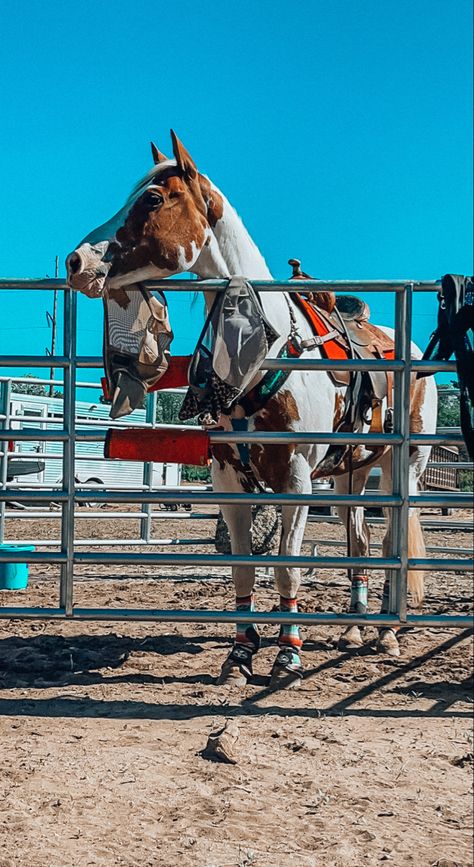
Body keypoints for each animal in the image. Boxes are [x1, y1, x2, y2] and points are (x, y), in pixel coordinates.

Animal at [66, 131, 436, 684]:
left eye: (152, 199)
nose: (75, 262)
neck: (265, 351)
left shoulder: (297, 479)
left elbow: (287, 567)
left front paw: (288, 654)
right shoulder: (228, 476)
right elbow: (242, 566)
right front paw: (240, 653)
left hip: (402, 468)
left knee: (393, 541)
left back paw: (386, 635)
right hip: (349, 475)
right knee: (361, 541)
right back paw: (353, 629)